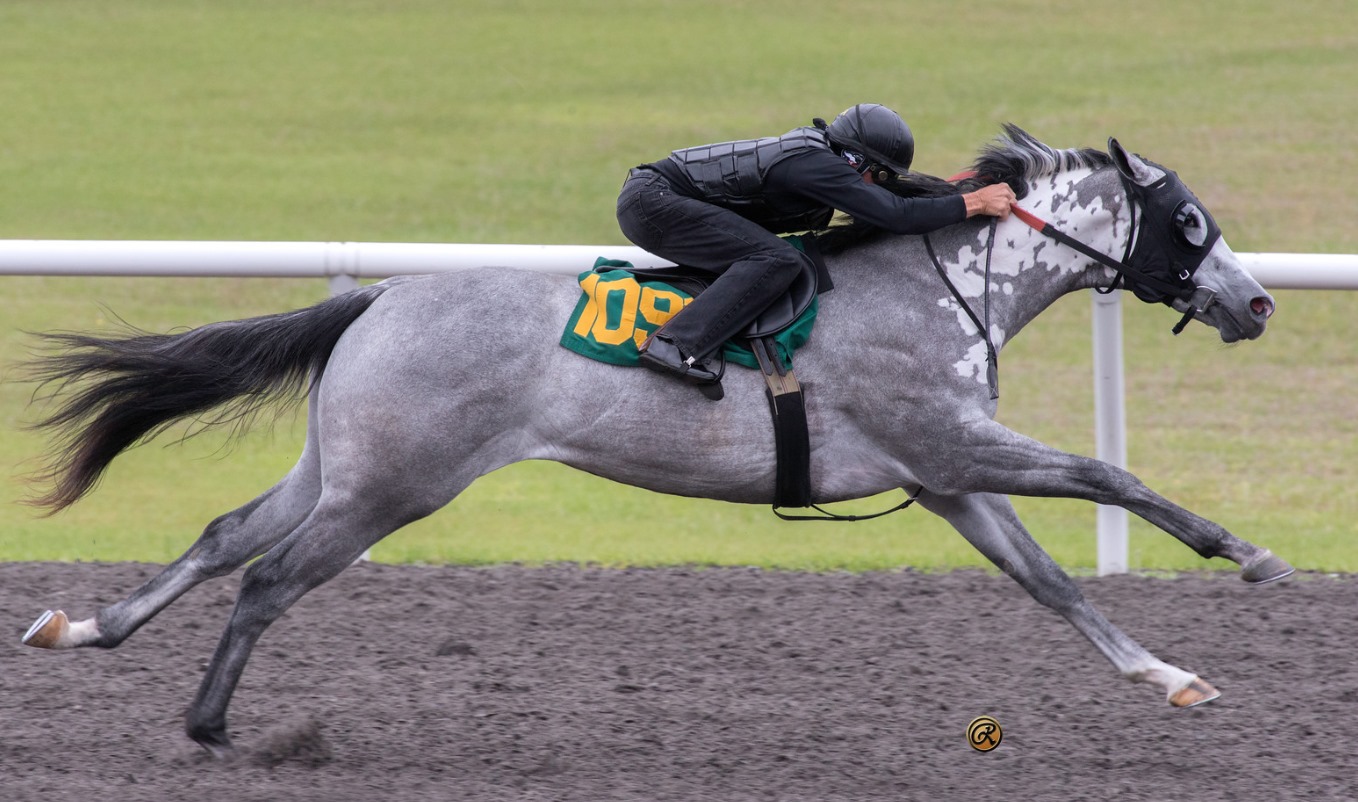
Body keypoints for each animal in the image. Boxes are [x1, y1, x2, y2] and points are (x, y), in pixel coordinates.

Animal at [21, 126, 1292, 759]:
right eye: (1188, 221)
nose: (1256, 303)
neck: (939, 282)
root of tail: (376, 297)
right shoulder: (956, 444)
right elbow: (1107, 472)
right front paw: (1249, 556)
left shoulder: (942, 475)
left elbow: (1050, 584)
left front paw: (1168, 676)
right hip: (391, 486)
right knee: (271, 576)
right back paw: (211, 723)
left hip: (343, 468)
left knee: (227, 534)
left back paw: (83, 627)